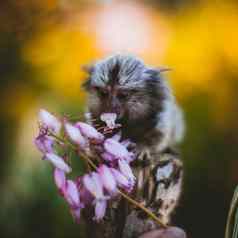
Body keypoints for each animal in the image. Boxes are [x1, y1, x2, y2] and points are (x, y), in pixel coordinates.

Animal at [83, 54, 184, 238]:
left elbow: (159, 136)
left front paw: (143, 149)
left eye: (122, 95)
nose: (111, 107)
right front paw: (96, 148)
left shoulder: (163, 118)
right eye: (104, 93)